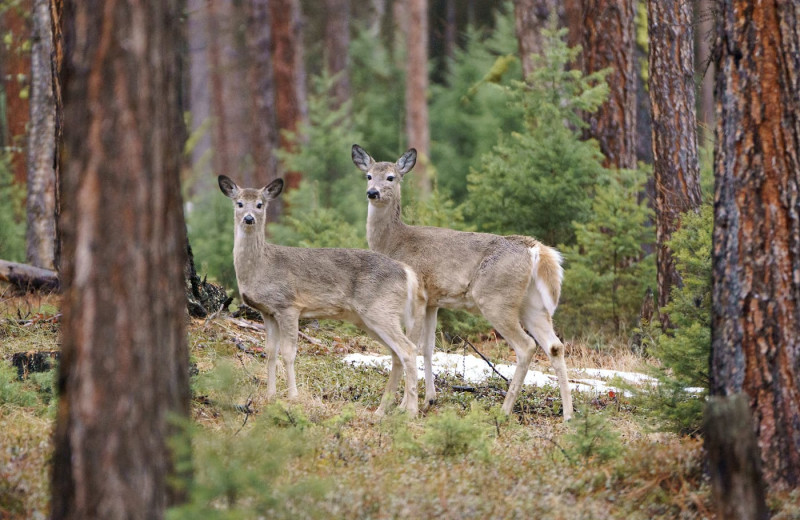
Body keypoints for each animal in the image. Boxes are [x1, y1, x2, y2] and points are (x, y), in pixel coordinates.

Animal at [219, 177, 424, 416]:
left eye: (260, 204)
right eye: (239, 203)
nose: (249, 218)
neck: (260, 267)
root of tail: (407, 272)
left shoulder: (289, 305)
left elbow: (288, 353)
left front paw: (293, 397)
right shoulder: (267, 312)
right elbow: (271, 353)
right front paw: (270, 395)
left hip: (380, 309)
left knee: (408, 350)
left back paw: (410, 411)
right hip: (369, 318)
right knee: (396, 355)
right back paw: (382, 410)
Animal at [354, 144, 572, 420]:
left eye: (391, 177)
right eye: (369, 175)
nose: (373, 192)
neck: (393, 243)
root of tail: (535, 249)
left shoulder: (417, 295)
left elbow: (411, 346)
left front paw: (404, 405)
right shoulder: (433, 301)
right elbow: (428, 347)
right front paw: (429, 400)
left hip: (495, 298)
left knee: (526, 346)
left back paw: (504, 410)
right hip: (532, 303)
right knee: (555, 346)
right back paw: (569, 415)